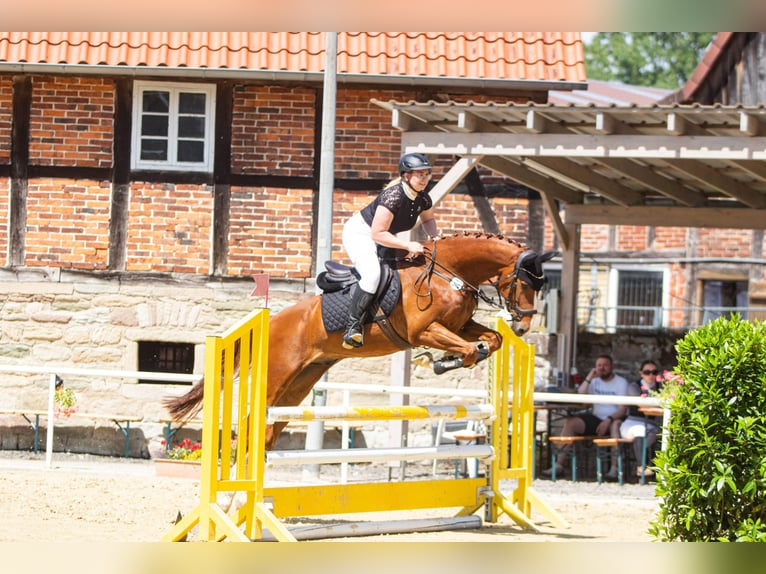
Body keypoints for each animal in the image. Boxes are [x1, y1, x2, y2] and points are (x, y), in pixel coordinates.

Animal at [165, 232, 556, 450]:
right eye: (523, 283)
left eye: (541, 285)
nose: (524, 326)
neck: (451, 274)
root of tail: (273, 320)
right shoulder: (425, 331)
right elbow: (469, 350)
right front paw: (441, 363)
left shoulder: (459, 326)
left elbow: (491, 340)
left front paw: (456, 358)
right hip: (277, 377)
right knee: (251, 421)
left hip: (301, 383)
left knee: (267, 431)